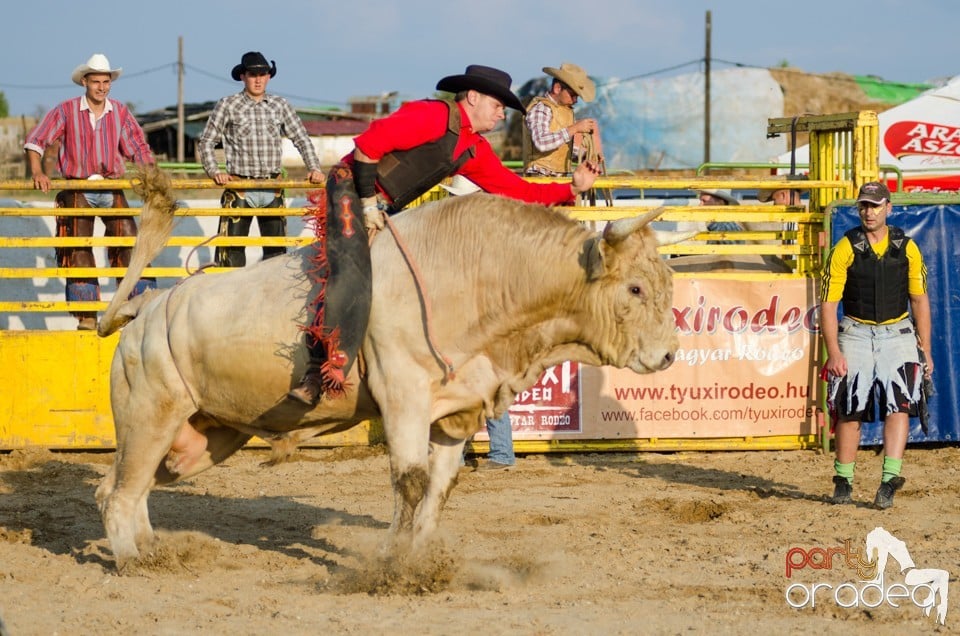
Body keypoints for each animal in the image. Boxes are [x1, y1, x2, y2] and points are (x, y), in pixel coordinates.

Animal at [95, 166, 684, 568]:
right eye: (635, 288)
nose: (669, 354)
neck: (480, 276)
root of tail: (150, 308)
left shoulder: (456, 411)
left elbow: (440, 486)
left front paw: (422, 559)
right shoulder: (404, 397)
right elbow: (411, 480)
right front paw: (392, 566)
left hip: (200, 439)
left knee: (123, 487)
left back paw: (152, 549)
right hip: (150, 415)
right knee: (121, 494)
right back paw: (136, 560)